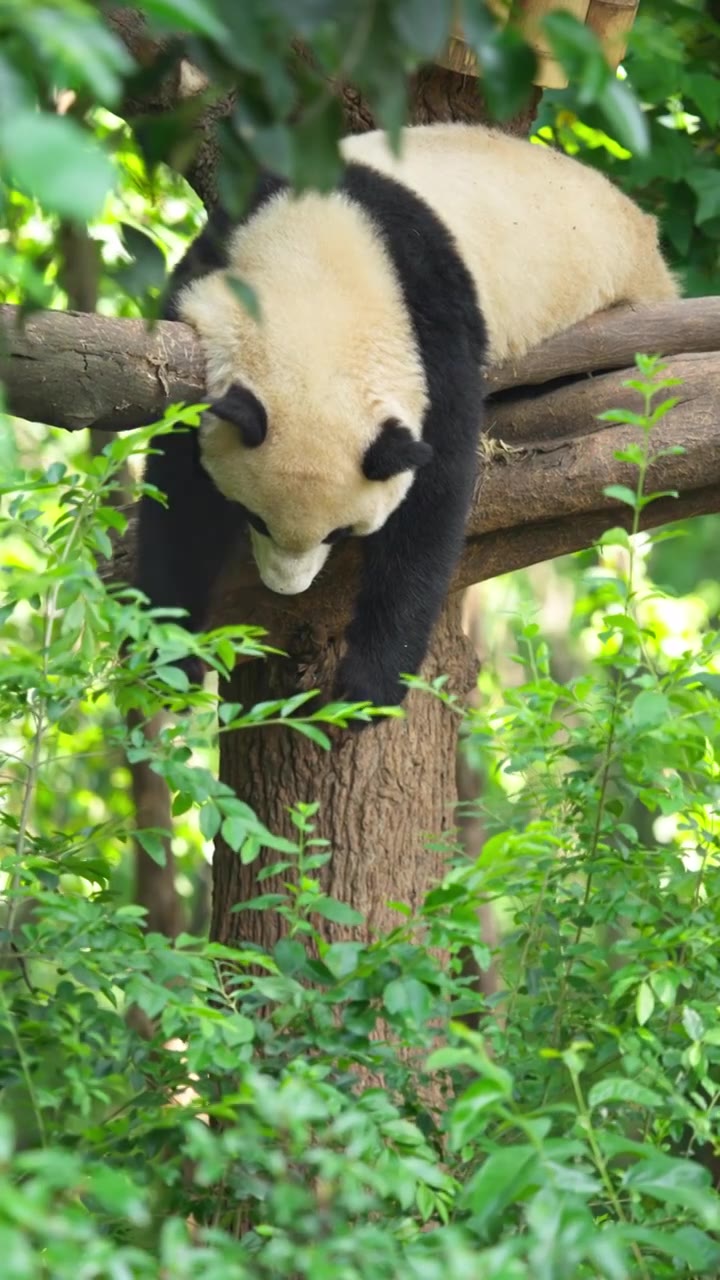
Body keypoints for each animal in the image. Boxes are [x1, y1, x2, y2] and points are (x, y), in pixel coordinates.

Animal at [133, 123, 671, 711]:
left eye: (339, 534)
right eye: (254, 518)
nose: (285, 588)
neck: (318, 262)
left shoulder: (435, 323)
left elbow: (433, 498)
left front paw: (369, 686)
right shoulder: (219, 262)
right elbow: (179, 493)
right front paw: (168, 654)